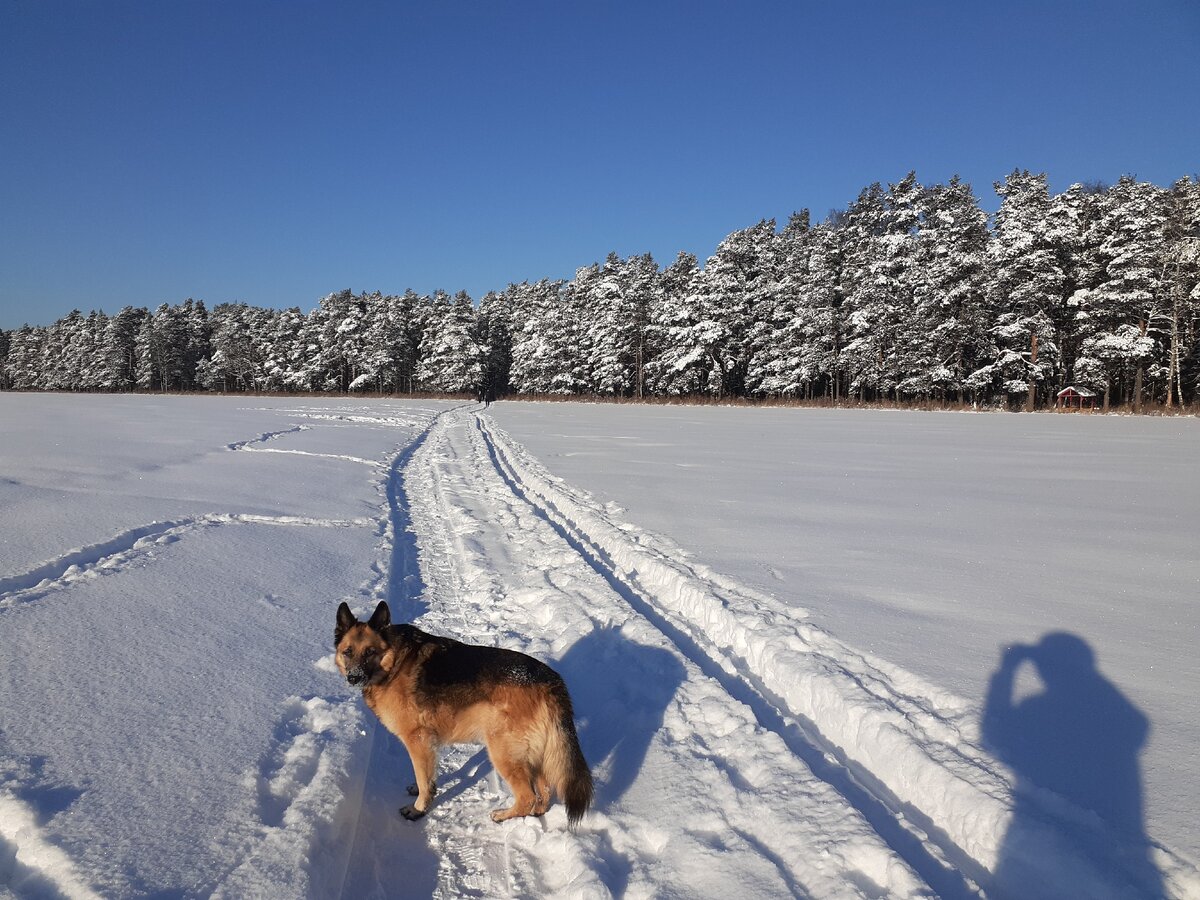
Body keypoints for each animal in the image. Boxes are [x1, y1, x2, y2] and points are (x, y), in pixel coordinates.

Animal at [333, 602, 595, 830]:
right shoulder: (426, 746)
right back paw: (535, 812)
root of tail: (550, 682)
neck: (394, 661)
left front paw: (418, 809)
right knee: (544, 792)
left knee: (527, 796)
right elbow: (426, 776)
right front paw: (421, 791)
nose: (353, 678)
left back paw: (503, 815)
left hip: (503, 754)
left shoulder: (417, 741)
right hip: (532, 755)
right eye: (347, 652)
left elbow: (423, 779)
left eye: (370, 652)